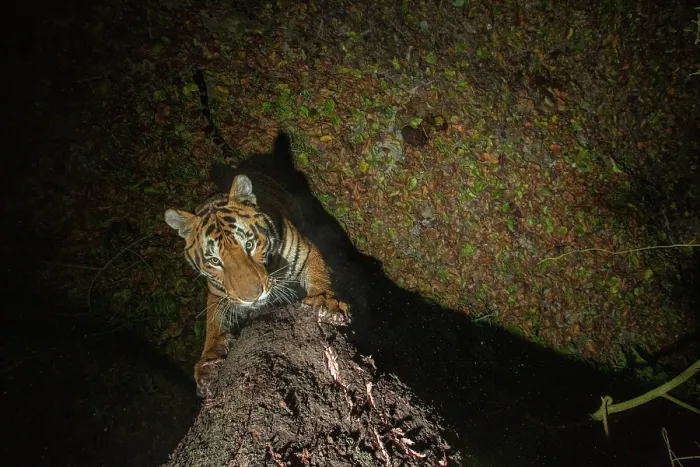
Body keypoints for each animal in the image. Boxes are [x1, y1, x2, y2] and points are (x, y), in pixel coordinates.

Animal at [165, 171, 349, 396]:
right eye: (215, 261)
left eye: (249, 244)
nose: (252, 298)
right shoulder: (218, 295)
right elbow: (213, 323)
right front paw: (208, 361)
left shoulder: (306, 251)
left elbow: (319, 276)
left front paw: (326, 303)